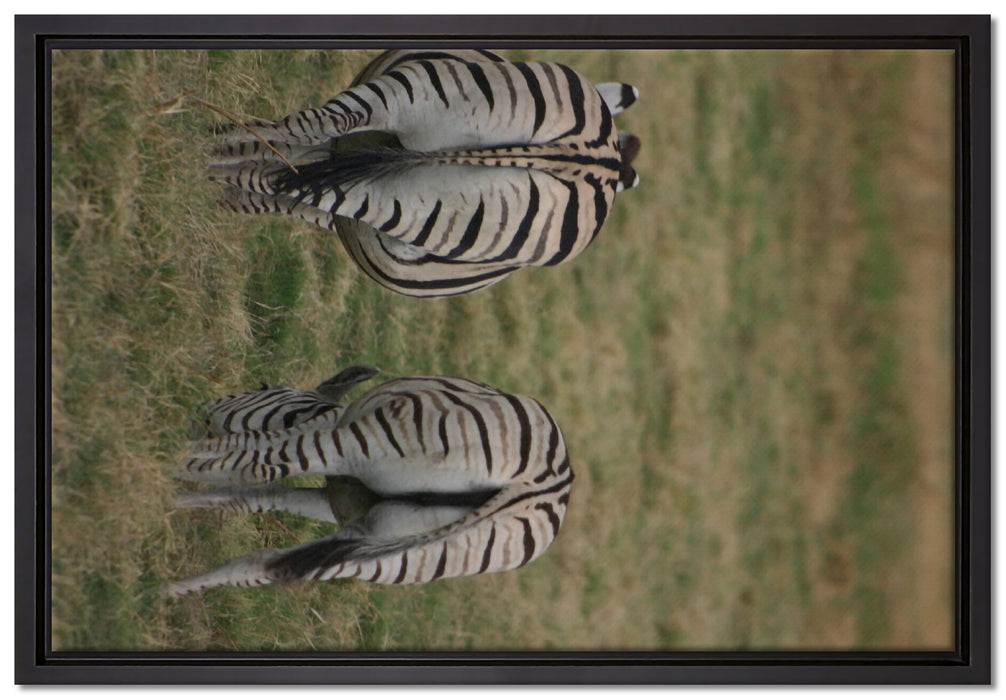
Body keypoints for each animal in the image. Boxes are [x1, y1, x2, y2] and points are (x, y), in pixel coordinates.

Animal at [166, 367, 574, 594]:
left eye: (263, 386)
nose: (202, 409)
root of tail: (540, 488)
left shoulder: (329, 435)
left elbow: (252, 458)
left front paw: (178, 465)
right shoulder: (343, 502)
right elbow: (260, 496)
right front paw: (180, 499)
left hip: (369, 439)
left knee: (257, 467)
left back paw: (164, 462)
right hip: (399, 557)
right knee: (263, 564)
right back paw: (169, 588)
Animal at [209, 49, 641, 298]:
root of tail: (579, 155)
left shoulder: (336, 182)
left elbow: (280, 178)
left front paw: (228, 168)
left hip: (395, 168)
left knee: (299, 154)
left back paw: (201, 162)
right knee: (307, 139)